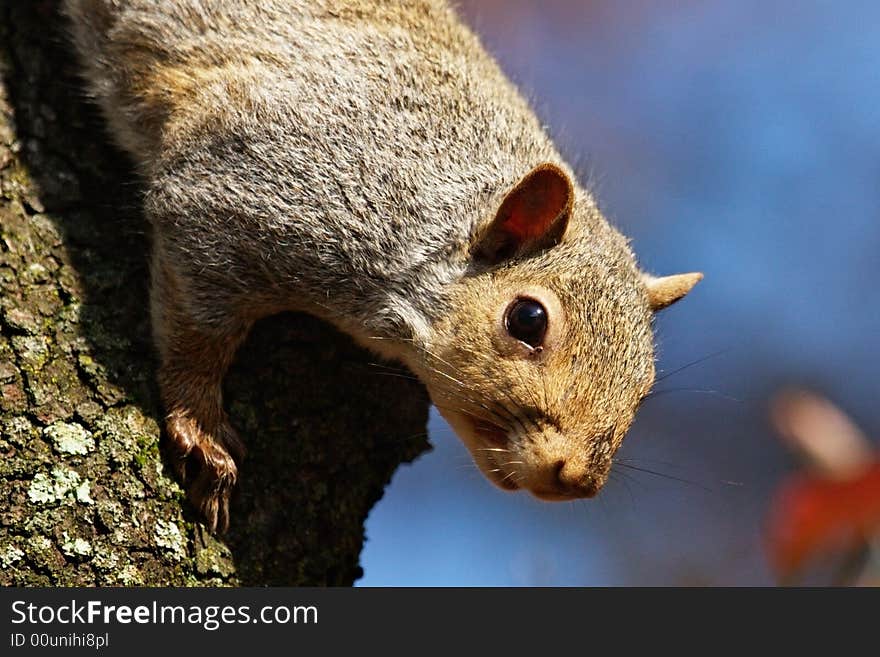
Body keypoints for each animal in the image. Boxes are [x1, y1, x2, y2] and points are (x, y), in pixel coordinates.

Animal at [63, 0, 700, 532]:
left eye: (644, 387)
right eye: (527, 320)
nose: (578, 482)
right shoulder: (242, 190)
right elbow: (199, 321)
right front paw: (200, 425)